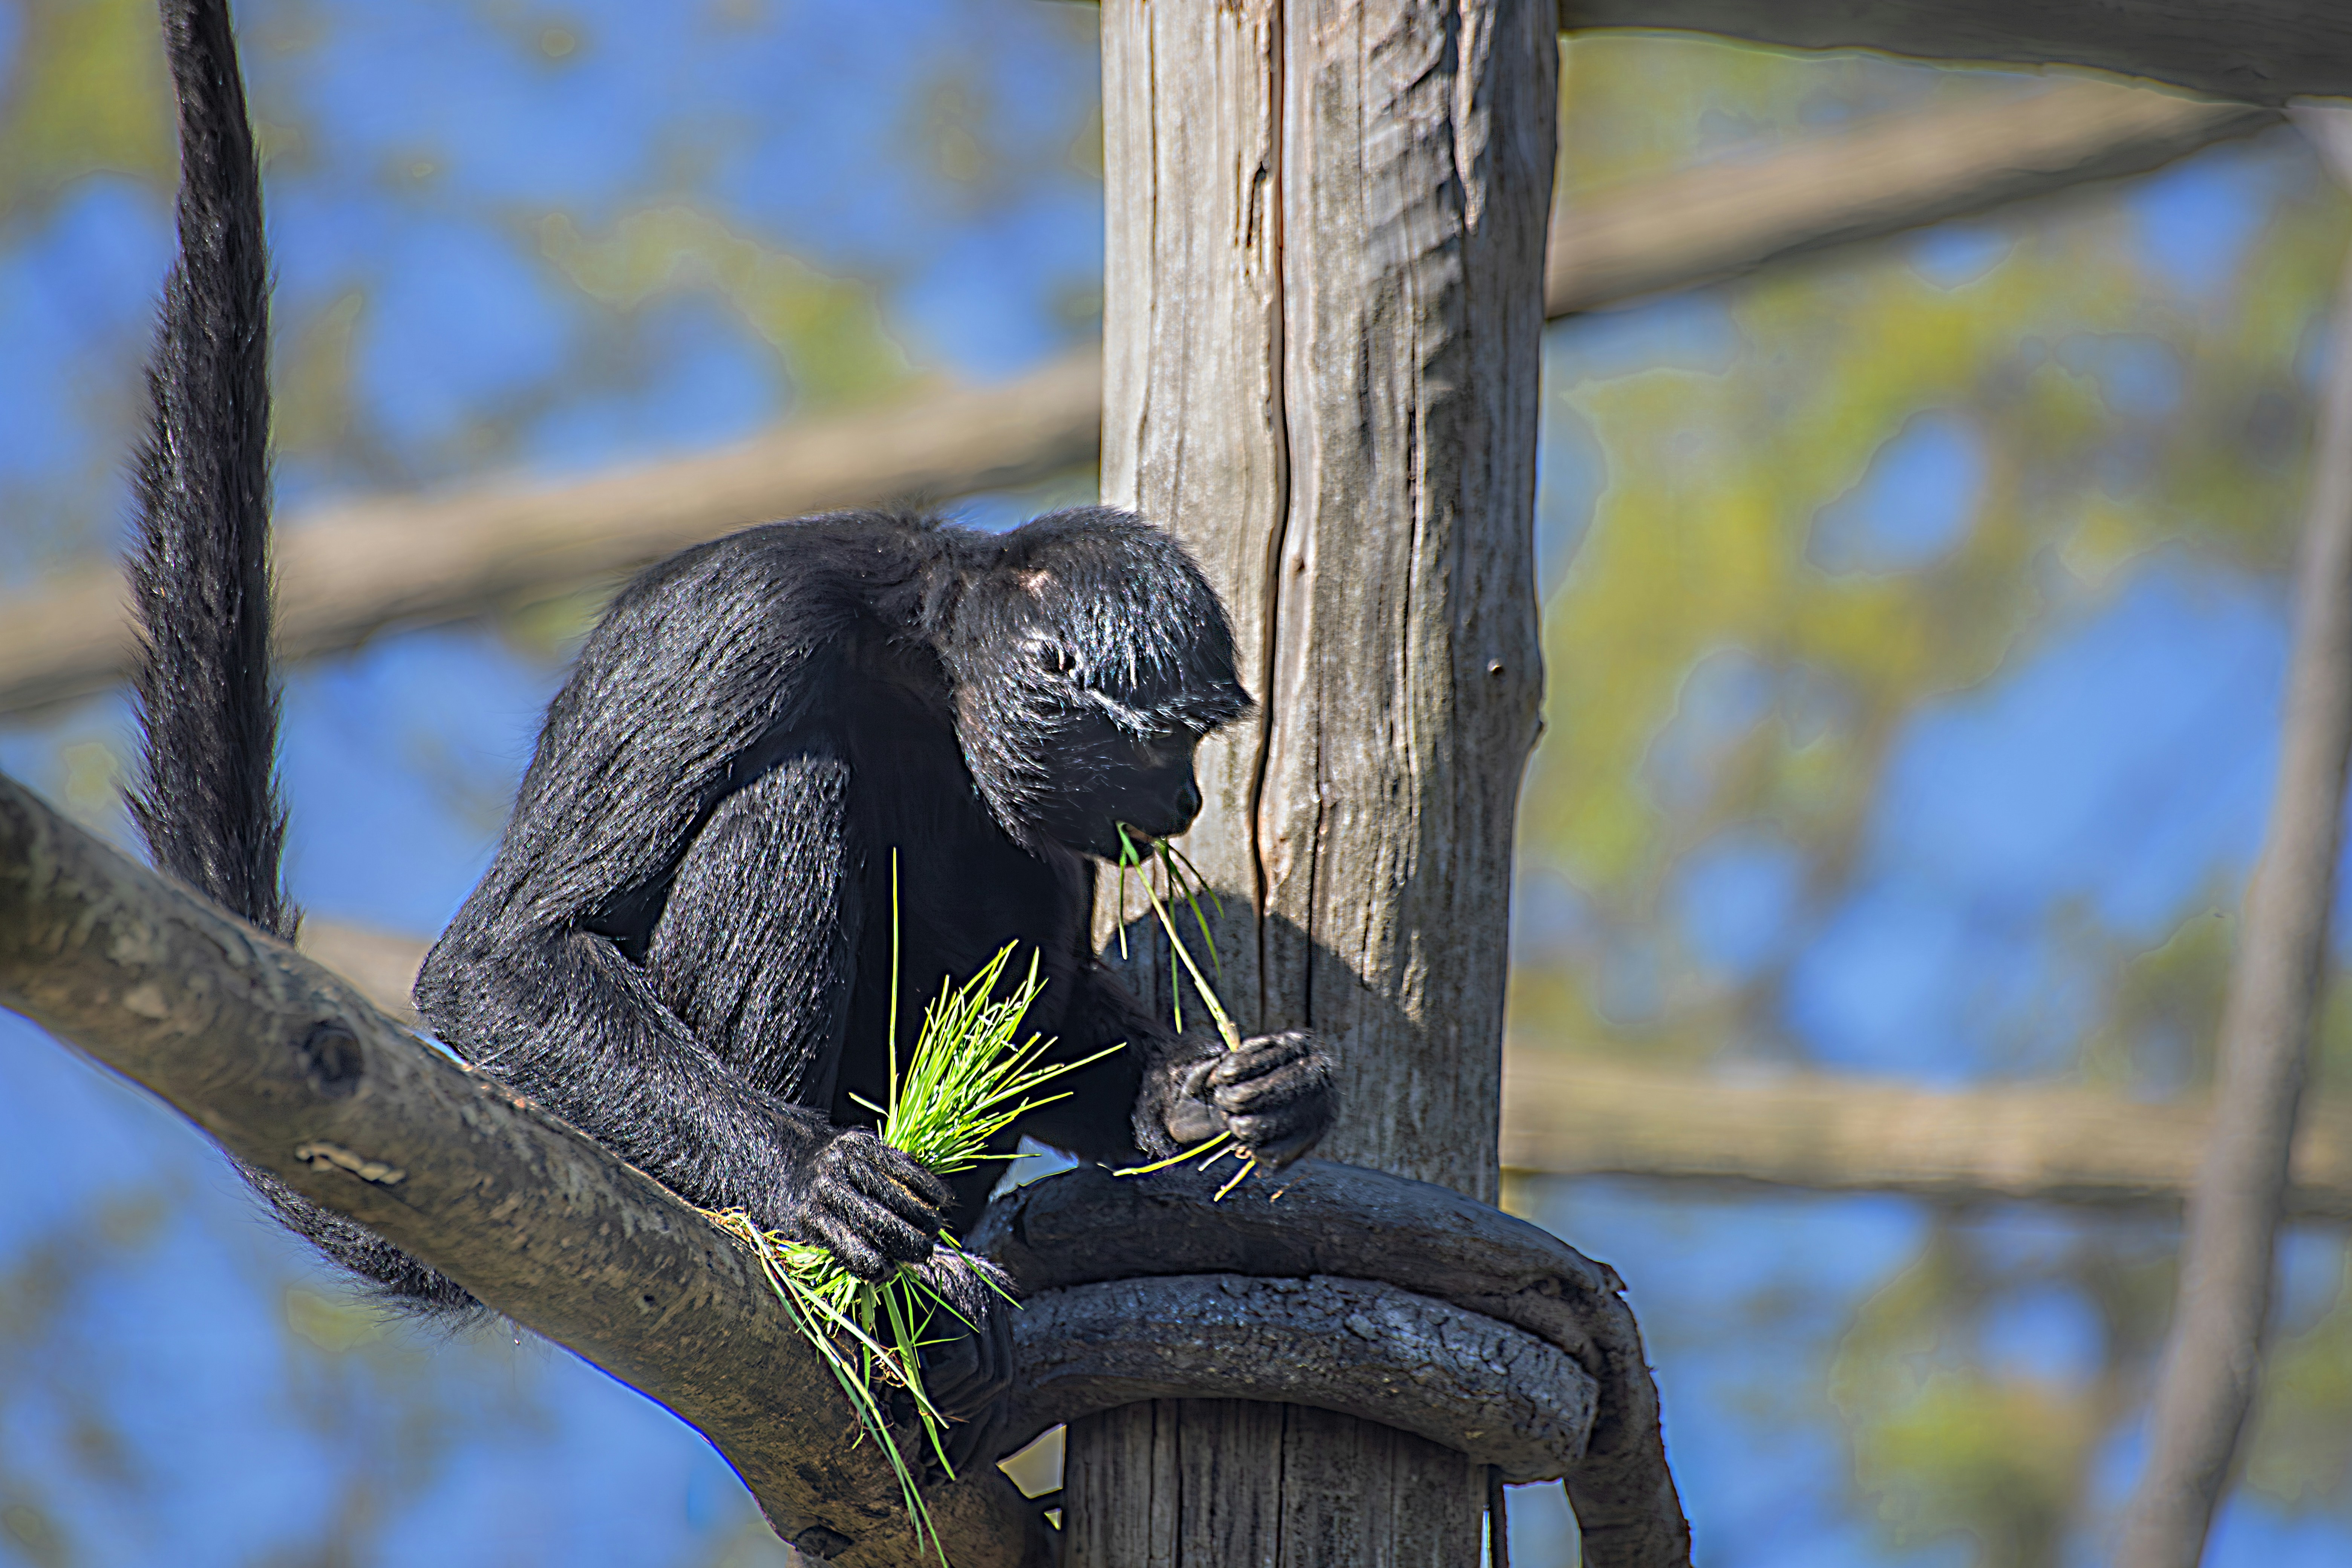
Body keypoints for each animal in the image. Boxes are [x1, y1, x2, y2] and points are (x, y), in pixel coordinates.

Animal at [127, 0, 1337, 1424]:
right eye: (1173, 745)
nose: (1191, 798)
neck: (922, 657)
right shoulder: (737, 628)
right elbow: (496, 959)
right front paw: (812, 1179)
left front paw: (1222, 1096)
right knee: (791, 797)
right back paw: (813, 1254)